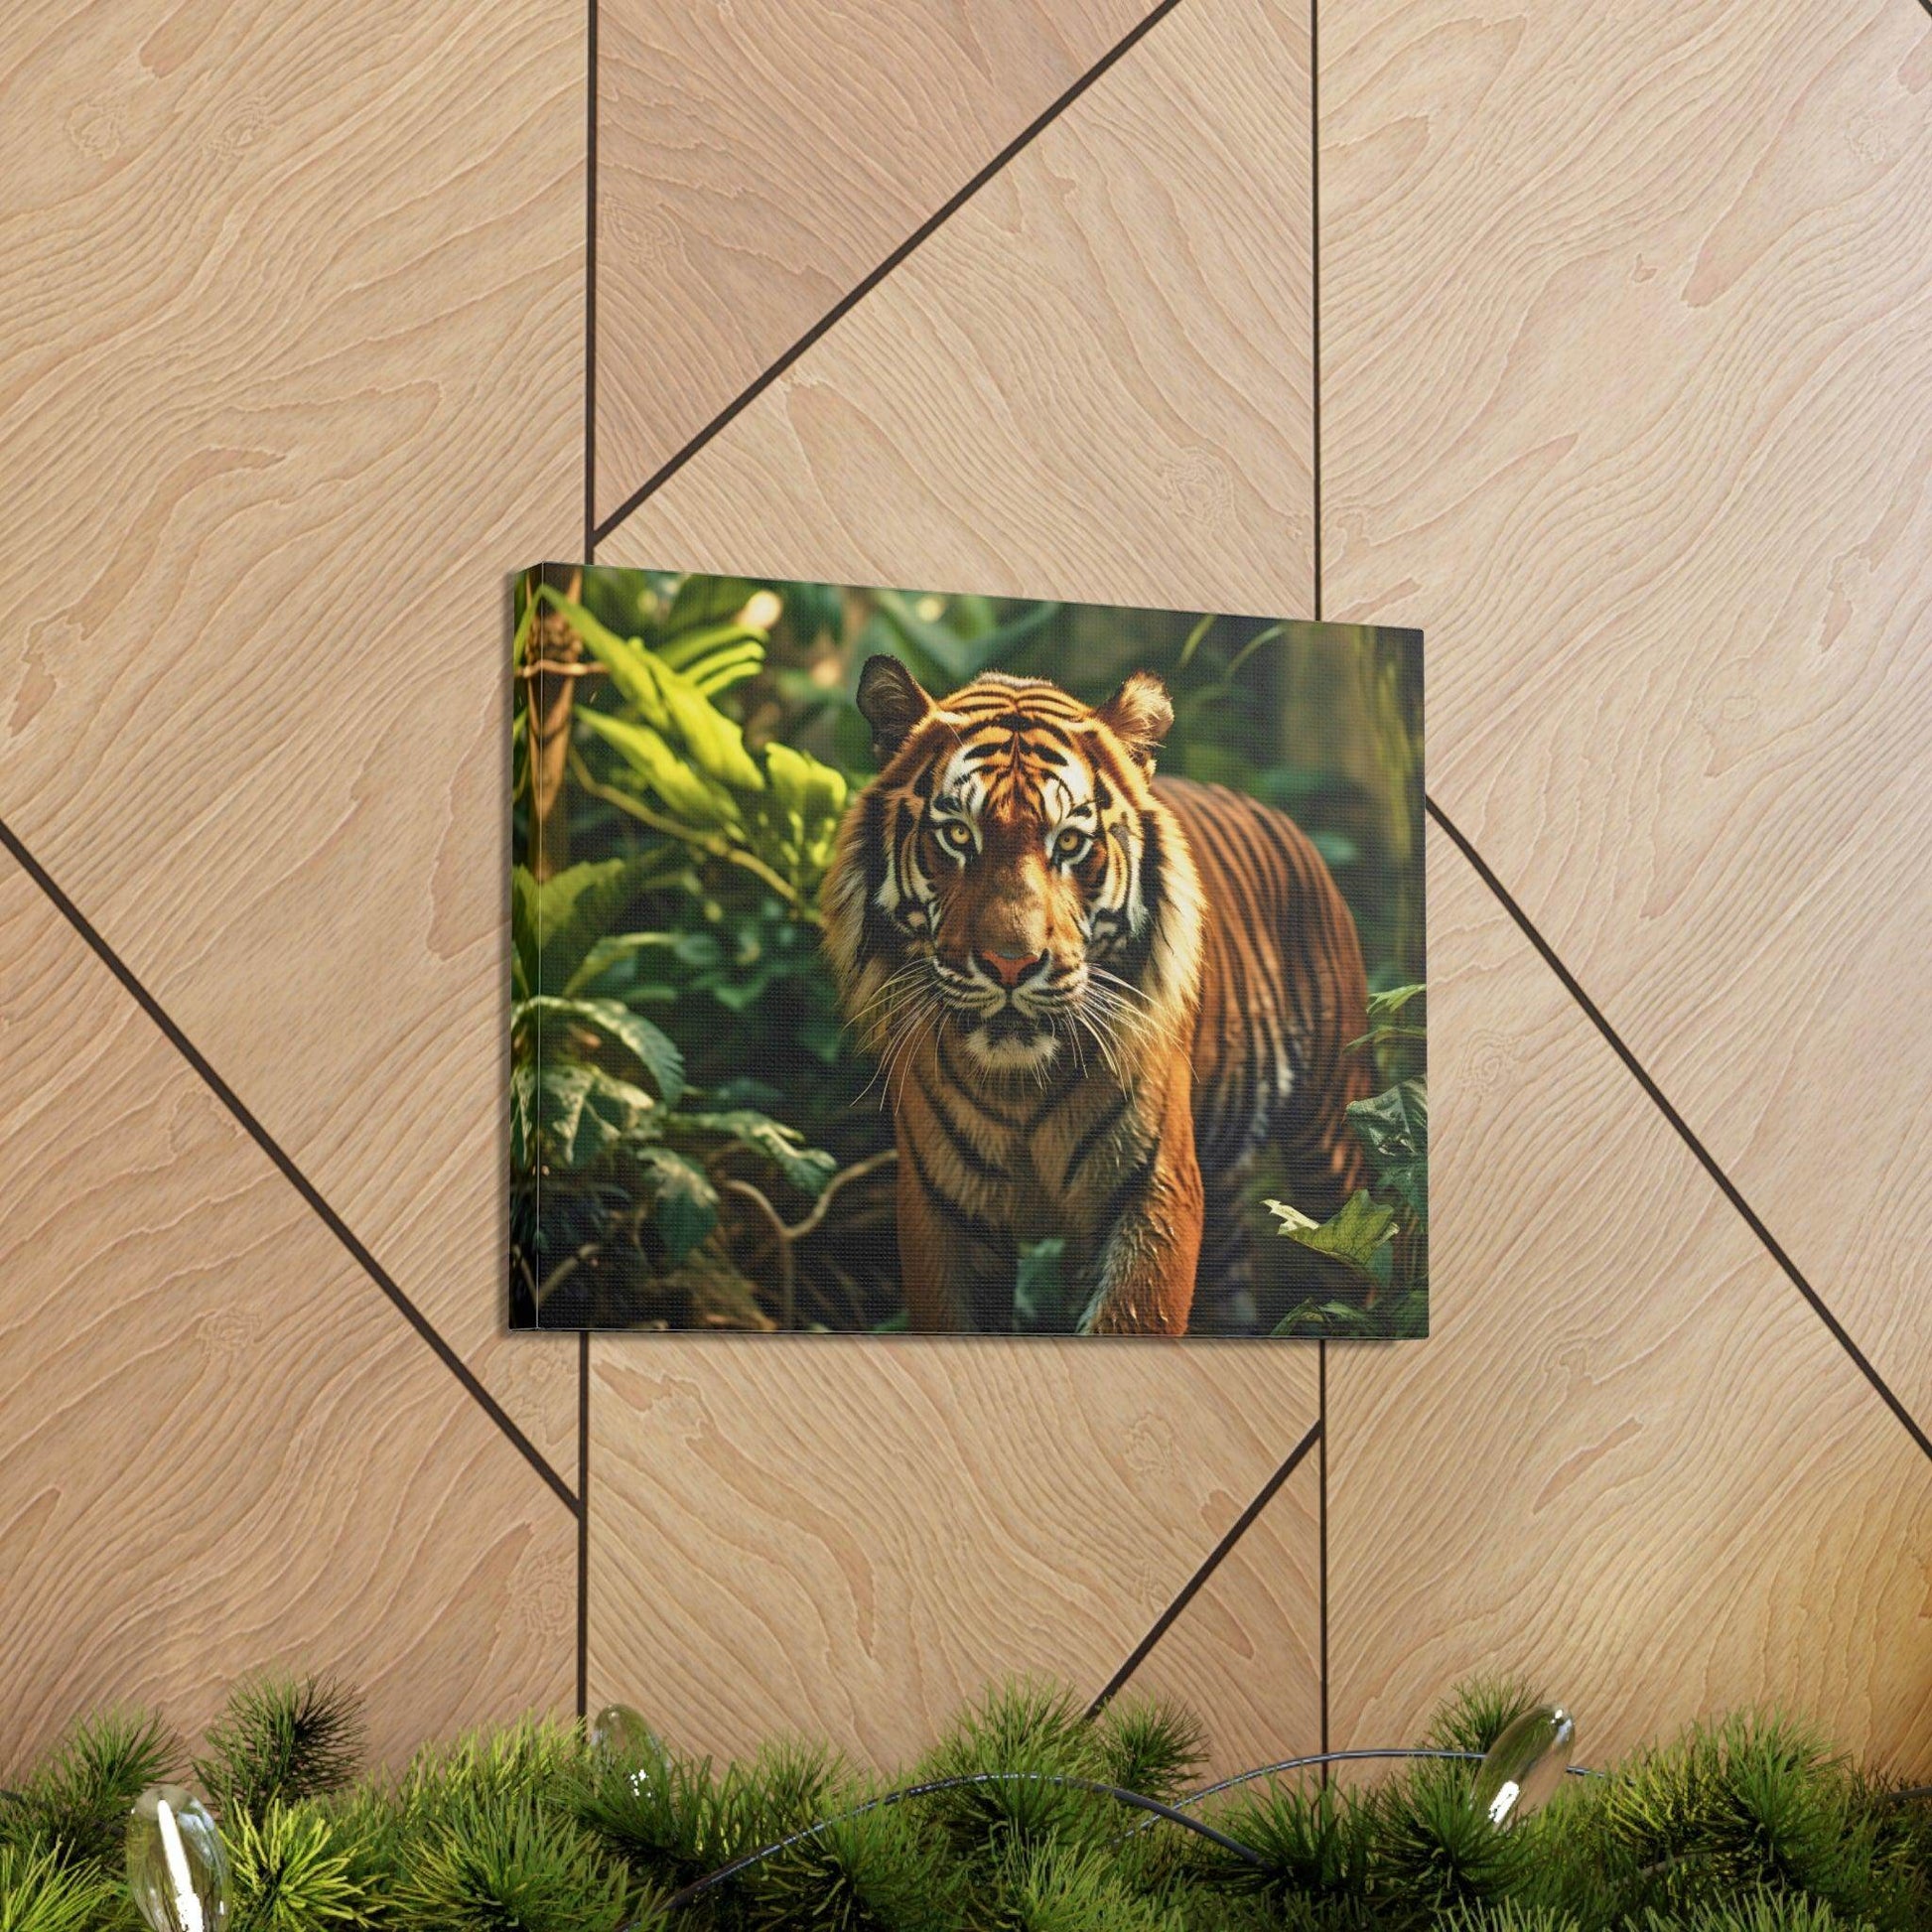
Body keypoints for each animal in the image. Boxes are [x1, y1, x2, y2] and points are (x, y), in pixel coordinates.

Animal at [823, 655, 1371, 1335]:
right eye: (956, 835)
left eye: (1069, 842)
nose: (1011, 964)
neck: (1020, 1088)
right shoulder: (941, 1207)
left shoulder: (1152, 1190)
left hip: (1333, 1135)